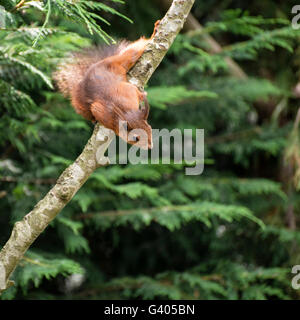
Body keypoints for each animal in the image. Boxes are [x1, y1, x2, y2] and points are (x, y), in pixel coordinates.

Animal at [54, 21, 161, 149]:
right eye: (136, 138)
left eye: (149, 128)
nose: (150, 147)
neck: (122, 111)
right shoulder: (102, 113)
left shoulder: (129, 91)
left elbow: (136, 92)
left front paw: (142, 95)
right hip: (80, 104)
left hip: (121, 60)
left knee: (134, 51)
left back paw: (154, 32)